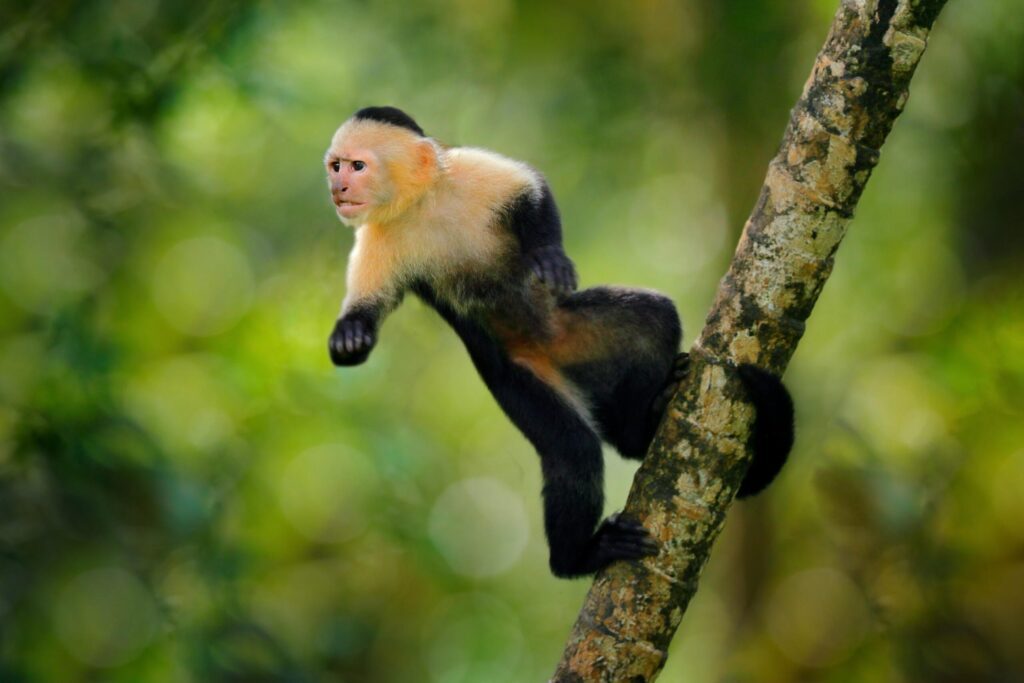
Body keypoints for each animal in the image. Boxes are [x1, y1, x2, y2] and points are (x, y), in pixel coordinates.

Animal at [325, 105, 790, 577]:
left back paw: (640, 428)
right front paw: (351, 335)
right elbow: (363, 316)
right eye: (336, 165)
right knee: (573, 451)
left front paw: (549, 254)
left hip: (579, 331)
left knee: (654, 316)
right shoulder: (380, 236)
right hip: (517, 374)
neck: (421, 206)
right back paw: (577, 557)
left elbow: (531, 188)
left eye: (356, 166)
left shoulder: (463, 174)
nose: (337, 187)